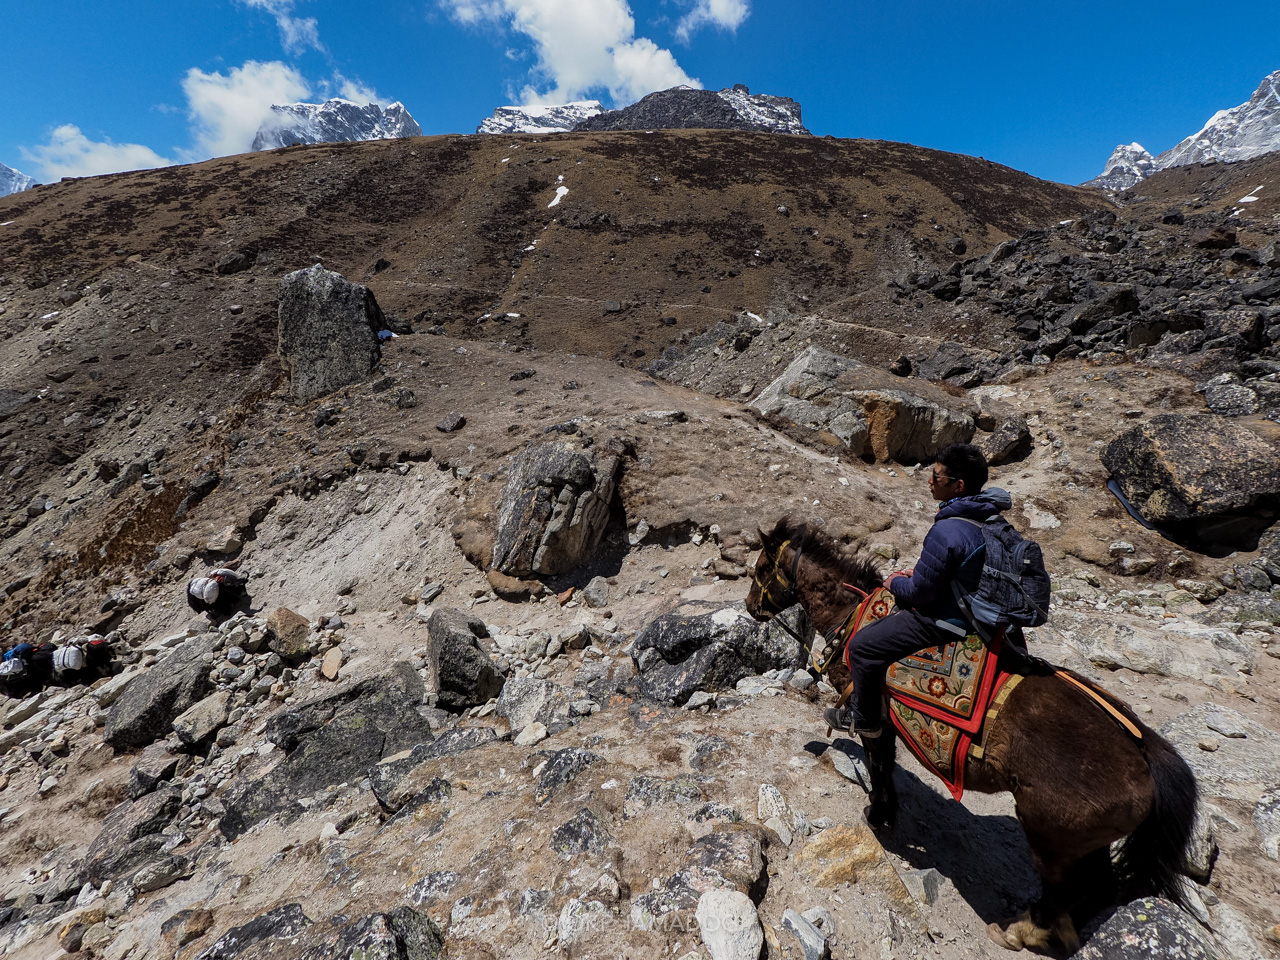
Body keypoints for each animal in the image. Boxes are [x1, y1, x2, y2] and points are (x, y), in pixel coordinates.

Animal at [745, 516, 1199, 953]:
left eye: (762, 568)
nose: (750, 607)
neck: (851, 615)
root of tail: (1144, 749)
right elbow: (885, 768)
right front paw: (886, 813)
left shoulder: (872, 715)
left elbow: (878, 766)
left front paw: (878, 815)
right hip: (1087, 843)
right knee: (1097, 889)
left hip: (1051, 837)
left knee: (1065, 891)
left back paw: (1021, 932)